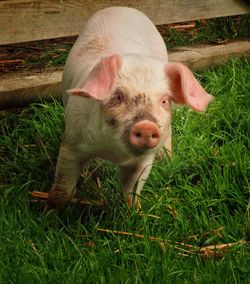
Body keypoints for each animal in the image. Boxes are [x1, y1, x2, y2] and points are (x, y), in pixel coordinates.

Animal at [47, 6, 214, 211]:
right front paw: (52, 209)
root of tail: (120, 8)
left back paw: (167, 159)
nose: (146, 126)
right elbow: (65, 181)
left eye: (164, 101)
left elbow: (132, 189)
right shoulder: (71, 142)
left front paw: (134, 212)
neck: (114, 154)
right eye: (117, 97)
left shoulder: (144, 162)